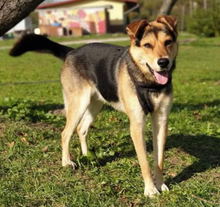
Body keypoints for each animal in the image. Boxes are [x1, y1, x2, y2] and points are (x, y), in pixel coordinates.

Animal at [9, 15, 179, 196]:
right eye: (147, 45)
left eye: (168, 42)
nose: (164, 62)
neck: (149, 83)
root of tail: (71, 52)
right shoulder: (136, 124)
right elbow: (145, 163)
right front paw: (151, 190)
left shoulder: (161, 121)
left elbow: (159, 160)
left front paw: (160, 184)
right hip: (78, 105)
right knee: (65, 133)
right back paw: (66, 162)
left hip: (95, 105)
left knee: (81, 129)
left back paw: (86, 155)